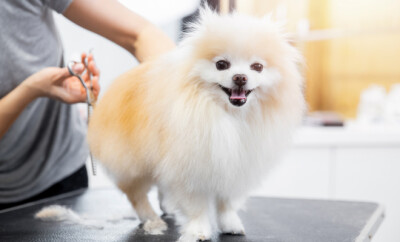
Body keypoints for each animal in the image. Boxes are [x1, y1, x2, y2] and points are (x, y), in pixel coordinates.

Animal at [87, 6, 304, 241]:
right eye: (221, 64)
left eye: (257, 67)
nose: (240, 77)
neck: (229, 116)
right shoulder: (190, 166)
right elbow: (196, 206)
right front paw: (198, 230)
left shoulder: (234, 164)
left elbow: (226, 203)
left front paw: (230, 223)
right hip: (133, 162)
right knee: (136, 195)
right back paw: (150, 218)